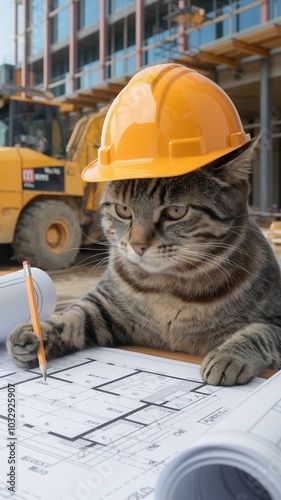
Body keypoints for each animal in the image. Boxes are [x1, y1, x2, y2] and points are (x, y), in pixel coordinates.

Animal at [5, 141, 280, 386]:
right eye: (123, 210)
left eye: (176, 211)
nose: (138, 245)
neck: (168, 287)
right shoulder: (102, 308)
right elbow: (71, 316)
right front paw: (37, 332)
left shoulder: (275, 317)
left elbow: (260, 332)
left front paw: (228, 354)